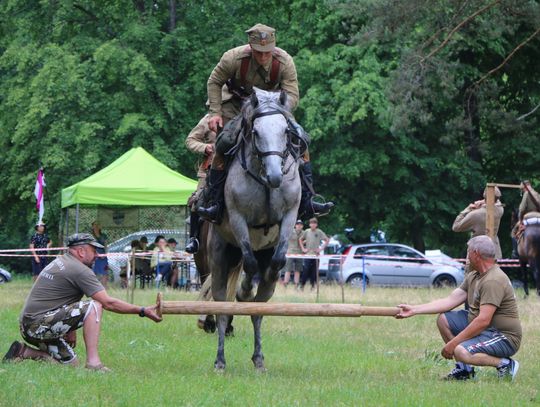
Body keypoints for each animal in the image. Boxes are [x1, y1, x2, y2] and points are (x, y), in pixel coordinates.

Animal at [201, 87, 304, 372]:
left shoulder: (290, 216)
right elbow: (249, 262)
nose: (276, 176)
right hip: (219, 256)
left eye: (286, 131)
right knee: (223, 308)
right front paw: (245, 289)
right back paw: (220, 360)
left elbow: (277, 260)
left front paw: (263, 278)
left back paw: (258, 358)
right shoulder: (238, 219)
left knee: (258, 311)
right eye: (256, 131)